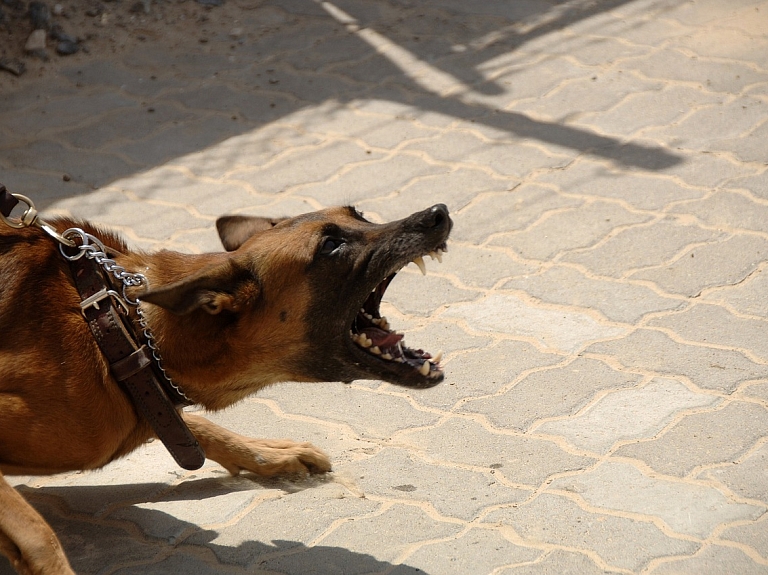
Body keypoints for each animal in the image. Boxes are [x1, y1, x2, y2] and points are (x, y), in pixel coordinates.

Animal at [0, 205, 450, 575]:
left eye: (359, 213)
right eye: (330, 245)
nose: (437, 214)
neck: (119, 327)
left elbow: (193, 425)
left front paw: (268, 453)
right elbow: (39, 538)